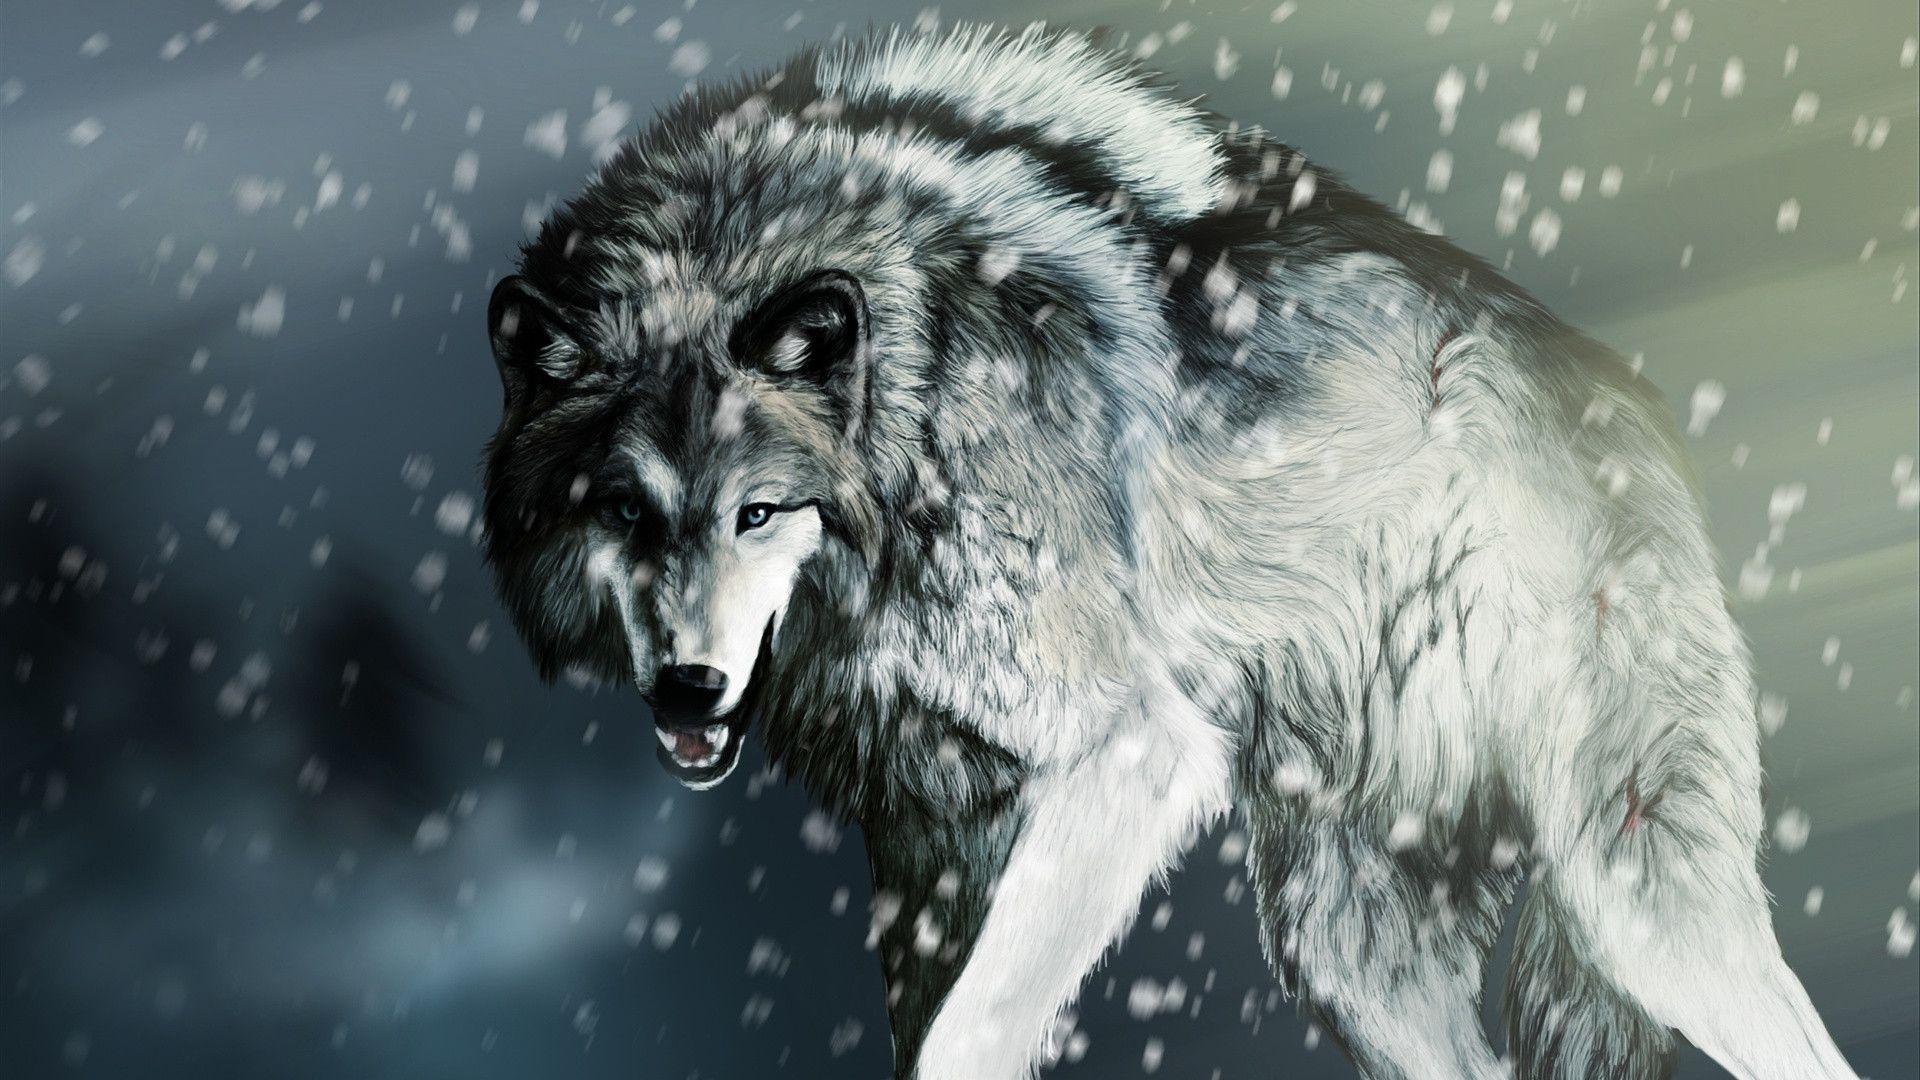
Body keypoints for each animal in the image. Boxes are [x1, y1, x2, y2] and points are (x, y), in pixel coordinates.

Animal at [477, 23, 1858, 1080]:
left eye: (759, 512)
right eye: (624, 512)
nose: (688, 689)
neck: (915, 402)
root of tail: (1627, 395)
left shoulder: (1126, 753)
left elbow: (969, 1035)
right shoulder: (931, 844)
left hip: (1635, 901)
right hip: (1344, 951)